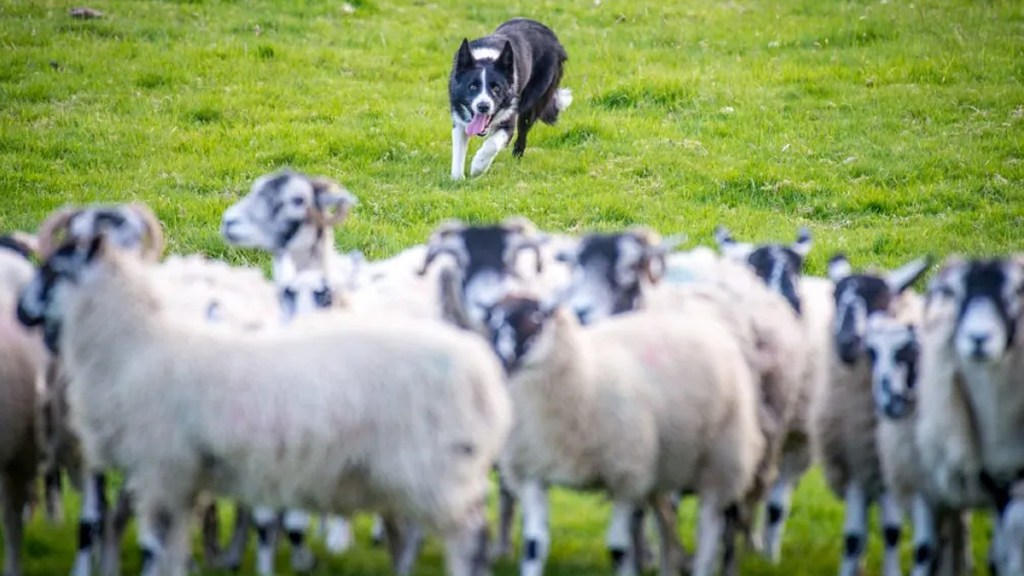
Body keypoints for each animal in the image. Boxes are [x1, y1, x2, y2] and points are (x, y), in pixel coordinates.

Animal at [450, 18, 573, 177]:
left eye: (496, 88)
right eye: (472, 87)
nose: (483, 106)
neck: (486, 58)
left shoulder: (509, 119)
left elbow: (492, 144)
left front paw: (478, 167)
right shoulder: (459, 119)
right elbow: (458, 151)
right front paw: (457, 178)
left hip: (532, 102)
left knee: (522, 134)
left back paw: (516, 159)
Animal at [483, 293, 765, 573]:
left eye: (536, 320)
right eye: (490, 323)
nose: (501, 363)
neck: (584, 375)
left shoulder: (627, 477)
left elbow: (618, 550)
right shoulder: (532, 473)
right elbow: (534, 546)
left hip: (722, 457)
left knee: (711, 526)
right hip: (663, 466)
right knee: (668, 521)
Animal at [811, 251, 933, 573]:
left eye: (880, 300)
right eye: (835, 297)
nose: (847, 342)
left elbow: (891, 530)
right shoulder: (857, 463)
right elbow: (853, 538)